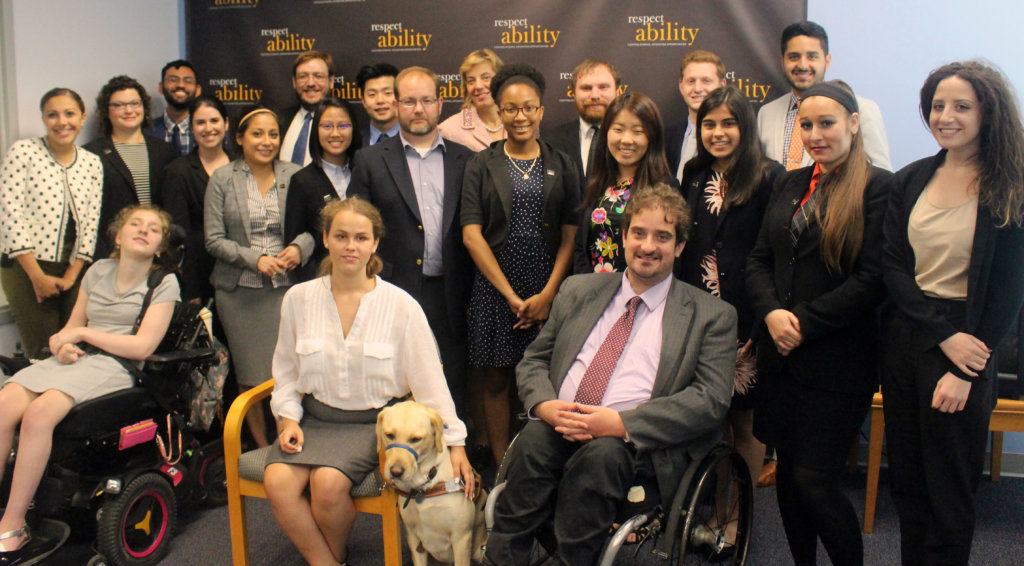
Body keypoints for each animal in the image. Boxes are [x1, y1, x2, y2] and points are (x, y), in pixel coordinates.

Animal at [376, 399, 487, 560]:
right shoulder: (414, 539)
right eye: (389, 435)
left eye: (416, 439)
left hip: (479, 551)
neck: (421, 486)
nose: (396, 472)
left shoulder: (461, 539)